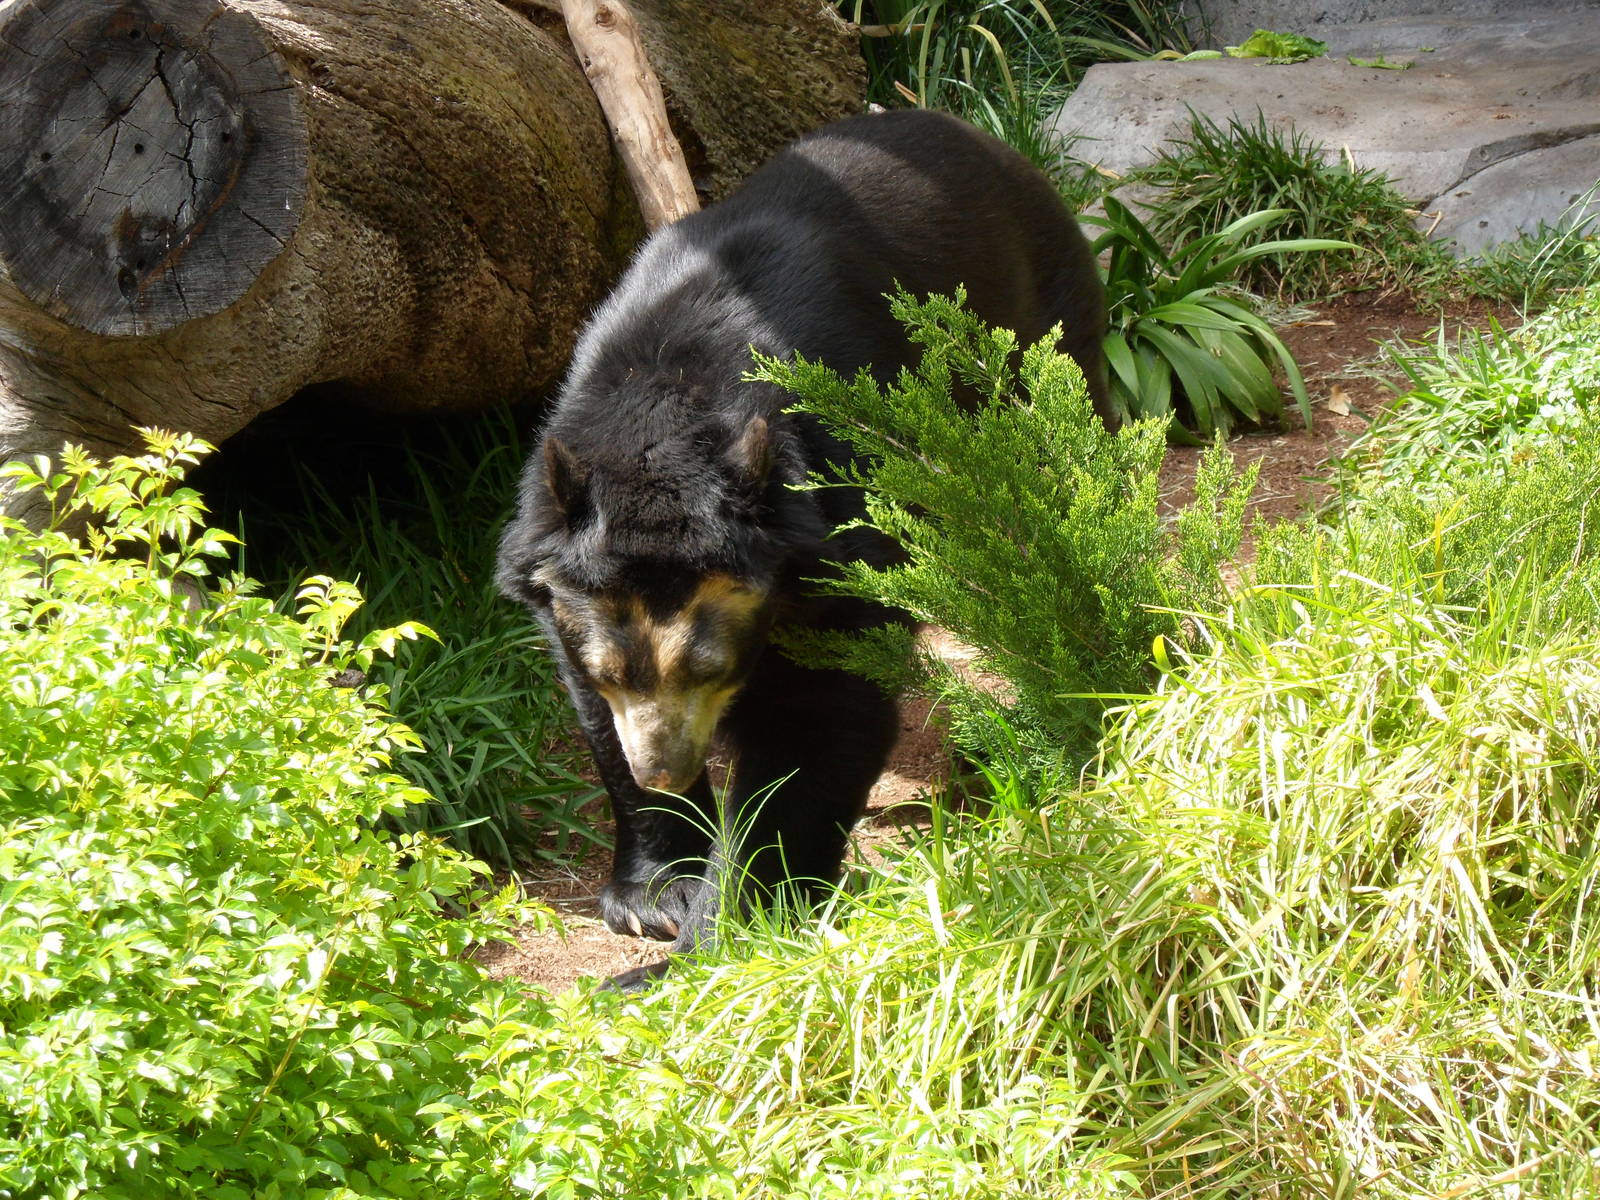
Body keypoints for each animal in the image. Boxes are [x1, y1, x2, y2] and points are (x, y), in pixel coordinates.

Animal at [496, 109, 1108, 988]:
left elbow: (820, 714)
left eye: (711, 667)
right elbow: (592, 709)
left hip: (1038, 341)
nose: (665, 768)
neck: (673, 384)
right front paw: (656, 897)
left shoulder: (838, 505)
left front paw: (698, 955)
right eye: (612, 671)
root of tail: (993, 142)